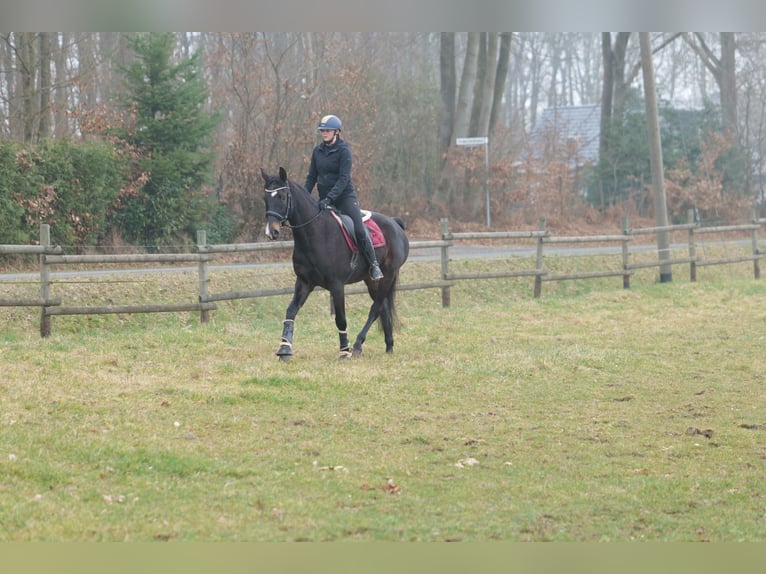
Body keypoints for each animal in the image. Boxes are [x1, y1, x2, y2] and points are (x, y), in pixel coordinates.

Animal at [262, 166, 412, 362]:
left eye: (281, 196)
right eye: (265, 198)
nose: (271, 231)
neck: (315, 232)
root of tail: (395, 223)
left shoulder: (337, 285)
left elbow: (341, 319)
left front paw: (344, 351)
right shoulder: (304, 282)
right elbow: (291, 311)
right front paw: (285, 349)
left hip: (387, 275)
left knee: (376, 307)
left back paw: (357, 345)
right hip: (371, 280)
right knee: (383, 308)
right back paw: (389, 346)